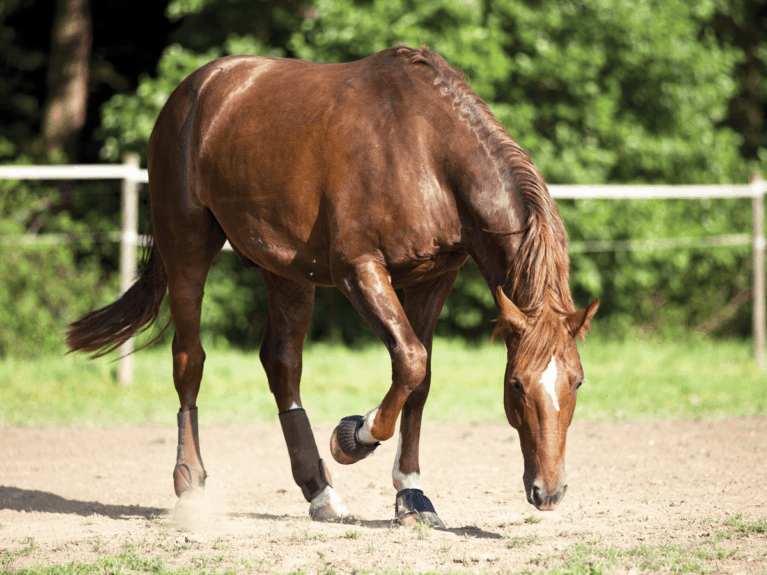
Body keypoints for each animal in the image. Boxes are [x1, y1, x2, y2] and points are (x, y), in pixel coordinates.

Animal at [67, 47, 600, 528]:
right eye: (516, 384)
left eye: (576, 382)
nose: (549, 491)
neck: (427, 150)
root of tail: (194, 89)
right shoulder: (358, 269)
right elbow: (409, 360)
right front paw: (354, 437)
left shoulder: (435, 277)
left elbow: (420, 379)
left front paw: (412, 495)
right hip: (187, 248)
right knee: (189, 360)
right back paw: (191, 486)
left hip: (285, 270)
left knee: (282, 364)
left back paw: (319, 491)